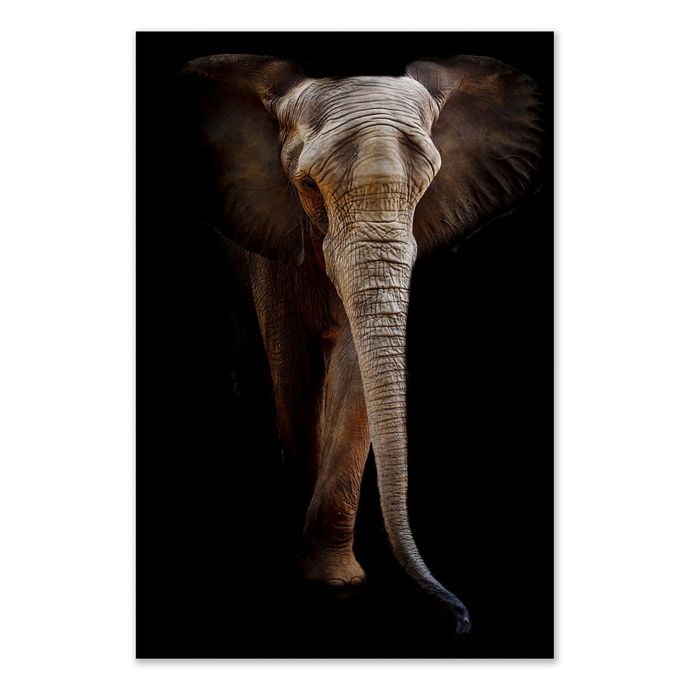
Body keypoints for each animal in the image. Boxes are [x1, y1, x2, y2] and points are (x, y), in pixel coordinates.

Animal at [177, 53, 542, 636]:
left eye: (428, 185)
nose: (461, 621)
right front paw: (303, 572)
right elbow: (290, 361)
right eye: (306, 183)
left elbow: (354, 369)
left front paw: (332, 580)